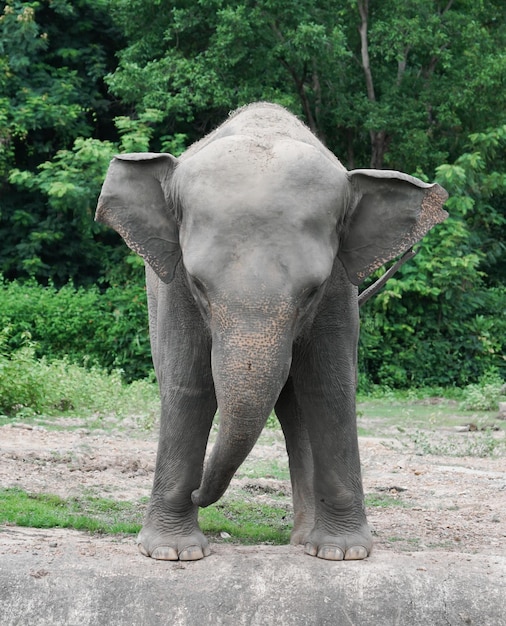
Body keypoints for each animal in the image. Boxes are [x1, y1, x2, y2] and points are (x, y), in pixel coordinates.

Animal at [95, 101, 446, 560]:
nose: (197, 493)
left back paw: (306, 541)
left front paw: (343, 553)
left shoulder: (338, 286)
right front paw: (174, 553)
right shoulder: (174, 289)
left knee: (299, 404)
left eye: (311, 290)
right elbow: (188, 386)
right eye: (199, 284)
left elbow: (329, 387)